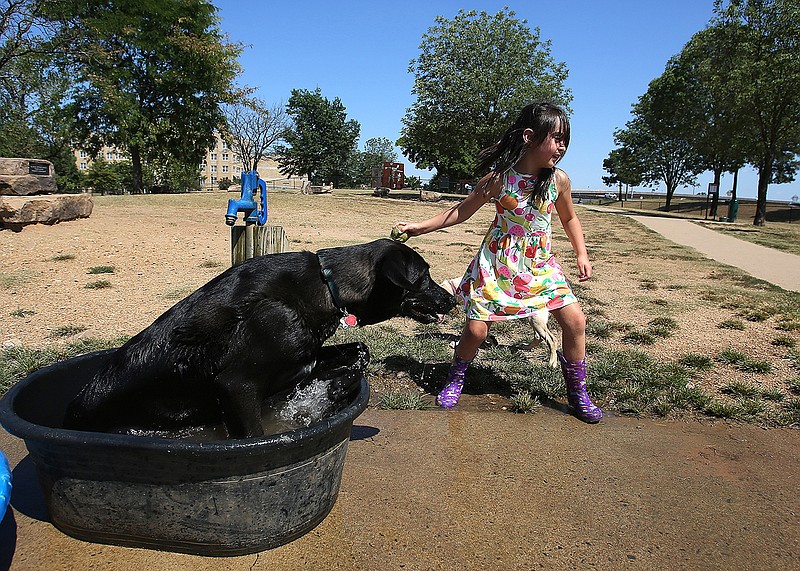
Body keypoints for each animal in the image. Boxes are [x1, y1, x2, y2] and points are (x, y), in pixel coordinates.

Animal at [64, 240, 456, 438]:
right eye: (424, 277)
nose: (452, 300)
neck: (326, 285)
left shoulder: (305, 357)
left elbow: (356, 351)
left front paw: (340, 382)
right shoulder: (238, 386)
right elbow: (254, 433)